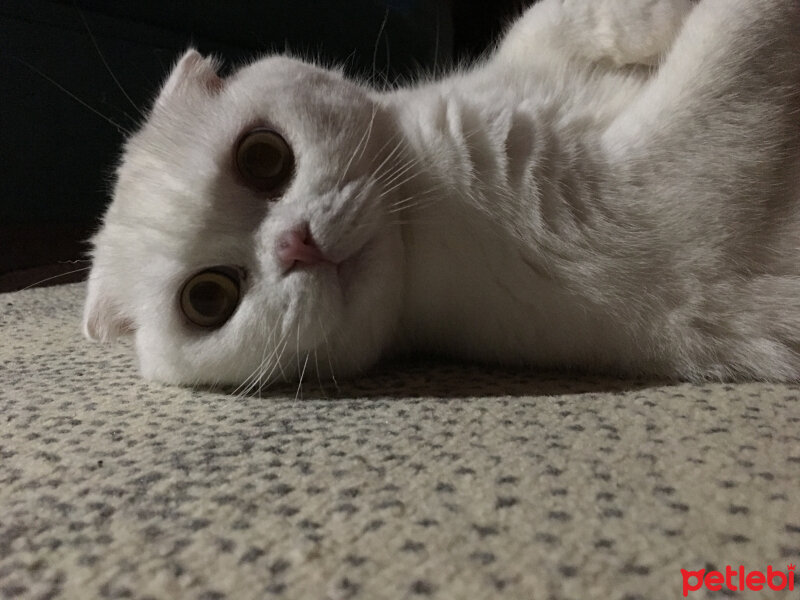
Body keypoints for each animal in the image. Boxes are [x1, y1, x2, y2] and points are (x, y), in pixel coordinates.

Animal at [83, 0, 800, 386]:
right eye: (208, 299)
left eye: (262, 157)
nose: (296, 244)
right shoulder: (663, 181)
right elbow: (737, 34)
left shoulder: (523, 59)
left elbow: (554, 17)